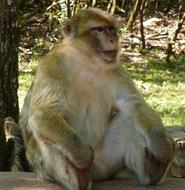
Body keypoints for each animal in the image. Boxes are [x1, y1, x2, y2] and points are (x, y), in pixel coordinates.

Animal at [20, 8, 175, 190]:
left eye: (112, 30)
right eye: (99, 30)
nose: (113, 39)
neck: (87, 62)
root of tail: (96, 174)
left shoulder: (117, 70)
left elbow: (133, 105)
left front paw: (160, 143)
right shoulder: (52, 67)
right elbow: (44, 114)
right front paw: (79, 153)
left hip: (106, 163)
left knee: (126, 119)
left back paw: (154, 171)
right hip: (45, 169)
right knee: (43, 132)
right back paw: (78, 178)